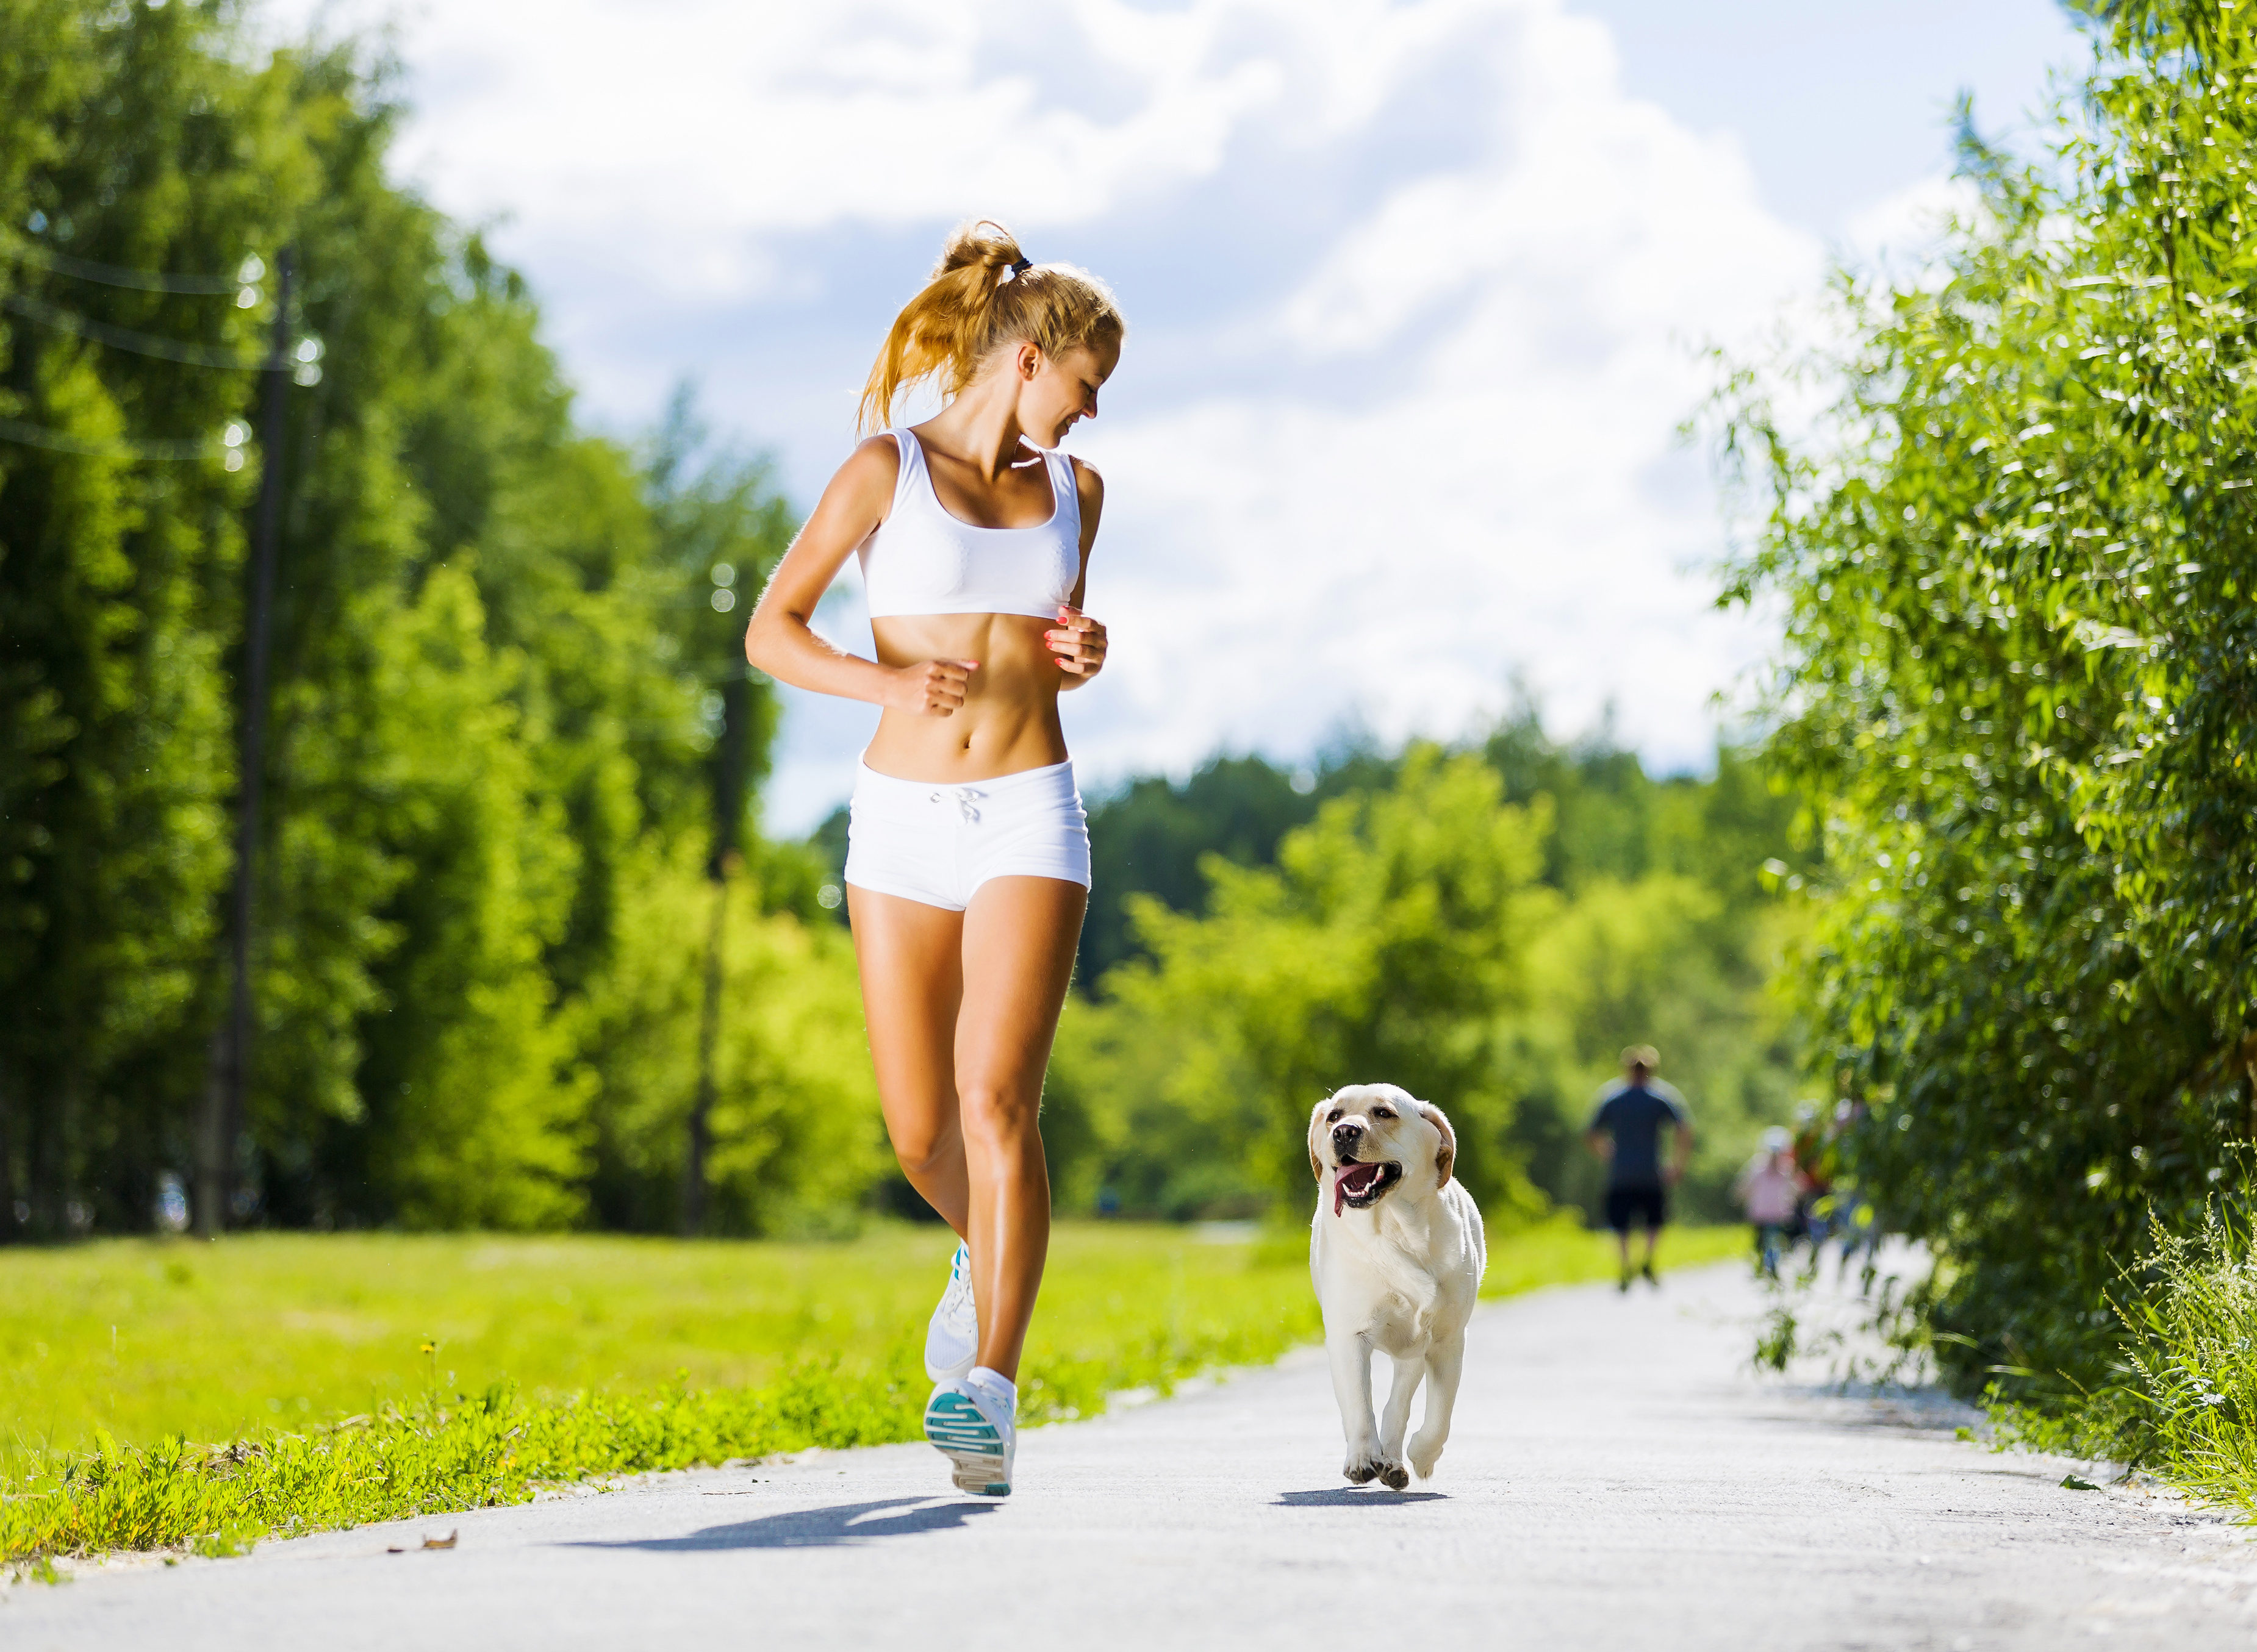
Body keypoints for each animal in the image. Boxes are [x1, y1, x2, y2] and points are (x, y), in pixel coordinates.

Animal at [1309, 1078, 1480, 1489]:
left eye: (1384, 1113)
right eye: (1334, 1115)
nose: (1344, 1132)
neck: (1394, 1226)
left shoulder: (1448, 1340)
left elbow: (1439, 1416)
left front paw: (1421, 1456)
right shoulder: (1348, 1335)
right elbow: (1359, 1405)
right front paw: (1362, 1457)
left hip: (1413, 1351)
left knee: (1398, 1405)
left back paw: (1395, 1462)